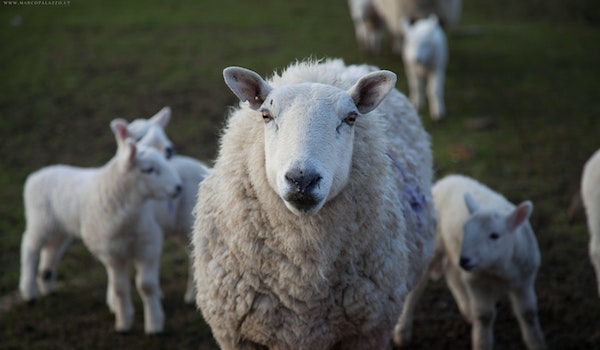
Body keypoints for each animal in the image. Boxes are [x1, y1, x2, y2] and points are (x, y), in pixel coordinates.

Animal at [19, 119, 183, 334]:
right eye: (148, 169)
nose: (178, 187)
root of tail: (36, 174)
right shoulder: (113, 250)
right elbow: (120, 287)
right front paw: (126, 320)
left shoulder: (146, 245)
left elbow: (143, 285)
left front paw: (151, 321)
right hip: (41, 222)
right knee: (29, 247)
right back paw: (29, 291)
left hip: (60, 229)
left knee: (52, 250)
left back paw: (47, 283)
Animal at [192, 58, 436, 348]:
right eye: (266, 115)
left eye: (351, 118)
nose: (302, 179)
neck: (302, 279)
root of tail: (344, 64)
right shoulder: (234, 333)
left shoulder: (369, 331)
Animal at [396, 175, 548, 350]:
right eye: (465, 229)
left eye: (494, 235)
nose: (464, 260)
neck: (498, 269)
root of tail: (448, 178)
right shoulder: (477, 281)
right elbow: (484, 316)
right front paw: (482, 342)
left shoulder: (525, 280)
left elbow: (528, 313)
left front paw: (537, 343)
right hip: (433, 247)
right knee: (416, 289)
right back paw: (402, 331)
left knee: (452, 274)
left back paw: (467, 311)